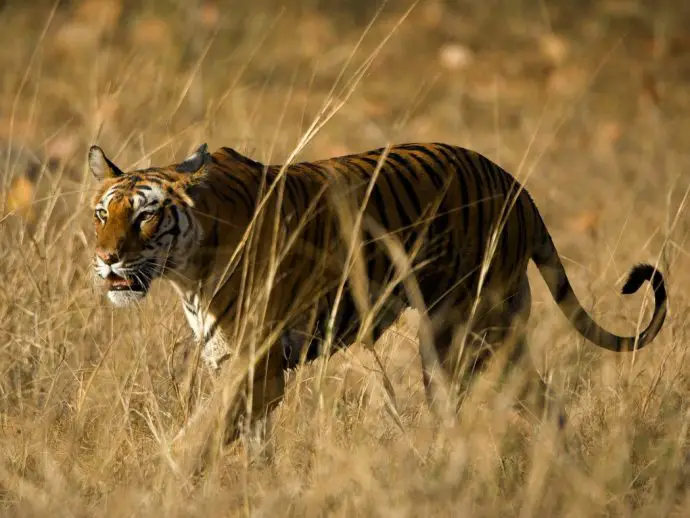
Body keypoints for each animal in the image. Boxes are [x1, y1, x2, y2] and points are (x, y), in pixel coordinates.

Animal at [88, 141, 664, 442]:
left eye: (145, 215)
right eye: (101, 214)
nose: (106, 259)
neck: (187, 268)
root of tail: (518, 188)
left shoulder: (259, 363)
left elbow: (202, 433)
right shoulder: (229, 360)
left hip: (465, 333)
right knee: (544, 404)